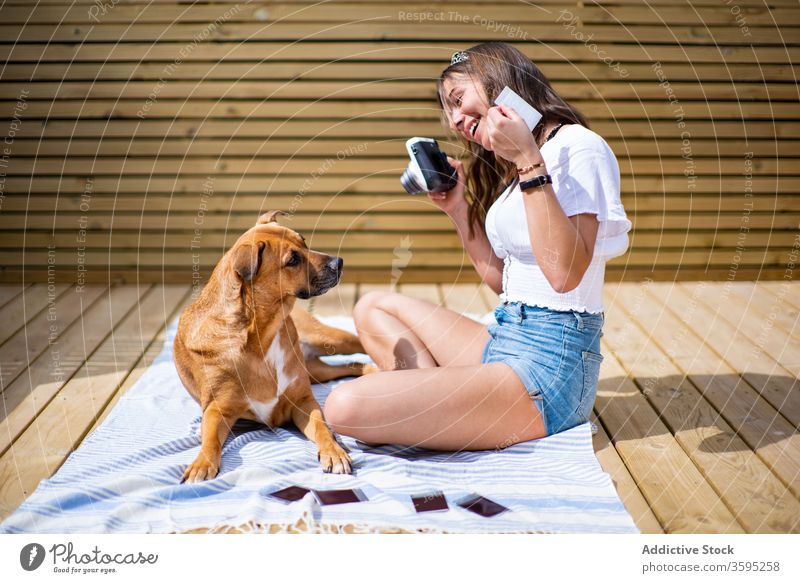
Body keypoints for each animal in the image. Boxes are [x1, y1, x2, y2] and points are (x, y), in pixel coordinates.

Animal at [173, 210, 374, 484]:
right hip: (316, 371)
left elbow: (321, 426)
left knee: (362, 344)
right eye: (293, 260)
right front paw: (202, 463)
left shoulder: (303, 400)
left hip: (326, 340)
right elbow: (210, 439)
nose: (339, 262)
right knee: (349, 365)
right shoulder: (216, 409)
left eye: (304, 242)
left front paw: (334, 451)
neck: (263, 335)